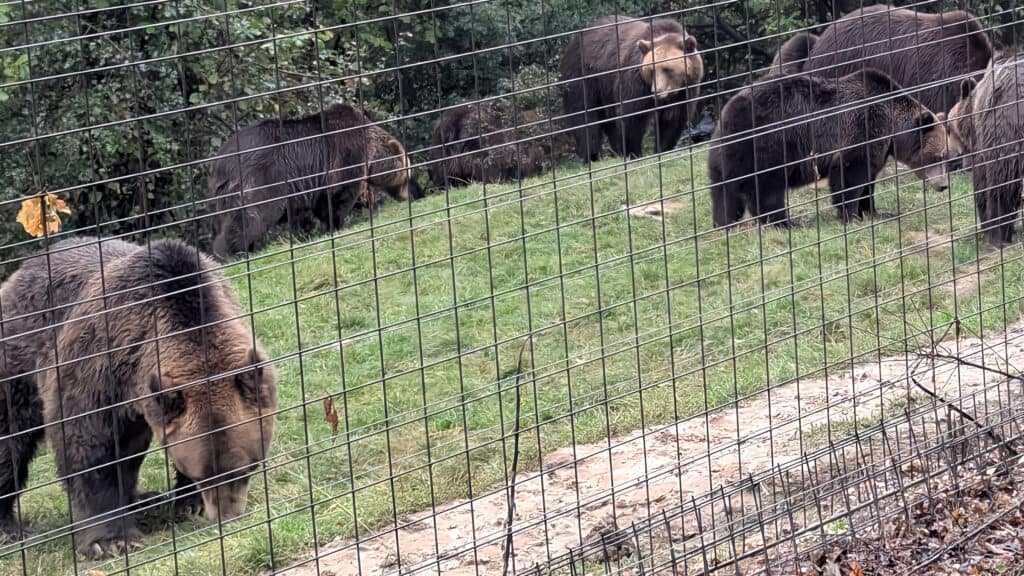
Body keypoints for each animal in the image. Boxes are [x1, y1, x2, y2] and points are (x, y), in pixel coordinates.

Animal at [0, 237, 277, 559]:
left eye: (245, 469)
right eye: (202, 475)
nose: (227, 515)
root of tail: (19, 272)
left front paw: (190, 503)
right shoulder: (98, 363)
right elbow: (89, 446)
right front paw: (110, 541)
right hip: (18, 359)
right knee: (9, 441)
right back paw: (8, 529)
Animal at [207, 103, 414, 260]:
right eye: (408, 170)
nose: (413, 192)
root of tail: (220, 162)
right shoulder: (344, 156)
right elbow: (338, 197)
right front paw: (338, 224)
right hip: (261, 179)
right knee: (251, 216)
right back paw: (231, 253)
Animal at [559, 14, 704, 161]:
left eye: (668, 69)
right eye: (651, 70)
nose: (657, 91)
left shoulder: (685, 91)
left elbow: (672, 120)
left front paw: (663, 149)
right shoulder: (635, 81)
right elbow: (632, 117)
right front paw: (634, 153)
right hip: (583, 75)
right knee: (583, 115)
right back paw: (591, 155)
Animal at [708, 68, 952, 227]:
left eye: (944, 156)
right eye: (937, 156)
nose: (944, 186)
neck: (892, 126)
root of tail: (728, 111)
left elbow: (868, 180)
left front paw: (874, 212)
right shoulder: (861, 127)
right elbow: (850, 174)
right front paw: (851, 216)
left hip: (725, 151)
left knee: (723, 191)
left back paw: (725, 222)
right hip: (768, 141)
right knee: (767, 186)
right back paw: (784, 223)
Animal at [948, 53, 1024, 246]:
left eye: (949, 128)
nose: (950, 155)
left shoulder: (987, 138)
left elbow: (982, 181)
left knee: (1001, 188)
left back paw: (999, 233)